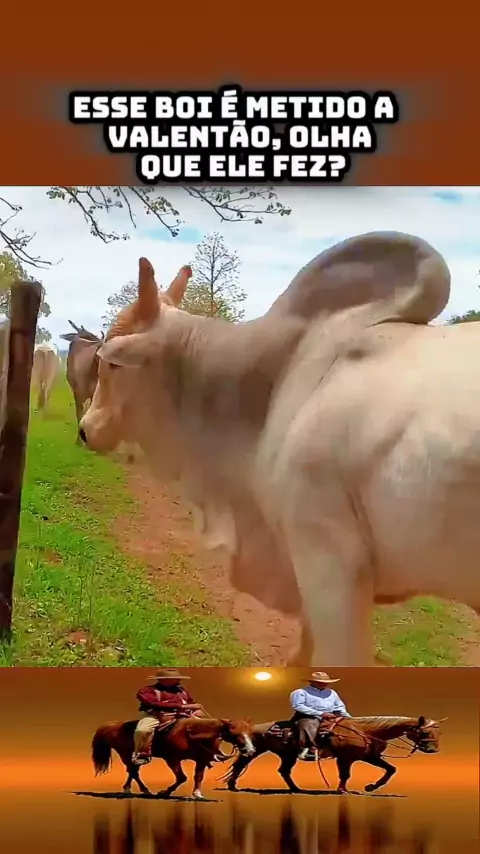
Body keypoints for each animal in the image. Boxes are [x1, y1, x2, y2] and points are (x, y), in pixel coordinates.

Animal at [91, 716, 255, 800]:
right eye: (234, 733)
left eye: (249, 732)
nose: (250, 750)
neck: (191, 734)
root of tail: (112, 725)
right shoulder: (172, 759)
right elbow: (182, 777)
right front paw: (164, 792)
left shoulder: (201, 760)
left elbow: (198, 776)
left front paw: (198, 794)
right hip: (125, 754)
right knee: (133, 771)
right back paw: (143, 790)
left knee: (133, 771)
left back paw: (130, 789)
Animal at [221, 715, 445, 794]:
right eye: (425, 732)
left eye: (438, 733)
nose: (433, 750)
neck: (366, 731)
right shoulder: (346, 758)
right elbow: (345, 775)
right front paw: (342, 790)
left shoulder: (369, 757)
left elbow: (391, 769)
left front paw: (371, 787)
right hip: (256, 750)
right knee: (240, 764)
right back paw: (232, 786)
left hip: (288, 755)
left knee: (284, 771)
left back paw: (296, 789)